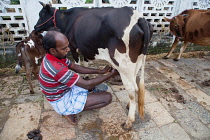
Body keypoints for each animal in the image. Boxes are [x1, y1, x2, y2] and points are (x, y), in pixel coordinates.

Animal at [34, 1, 153, 130]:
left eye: (41, 14)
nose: (35, 28)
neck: (68, 19)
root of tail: (138, 16)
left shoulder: (72, 46)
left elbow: (77, 64)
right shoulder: (85, 48)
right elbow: (85, 63)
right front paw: (87, 77)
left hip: (124, 63)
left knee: (132, 88)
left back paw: (128, 122)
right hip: (137, 60)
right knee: (136, 85)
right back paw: (129, 106)